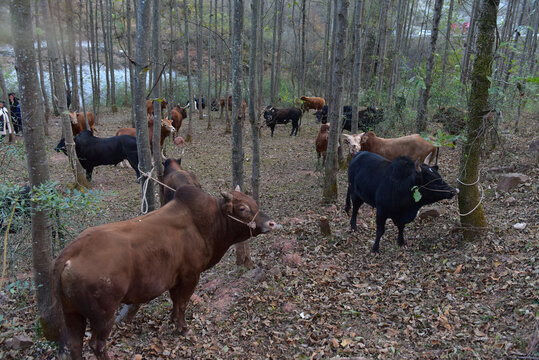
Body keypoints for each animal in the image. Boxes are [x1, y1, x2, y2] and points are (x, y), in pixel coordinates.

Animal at [52, 184, 280, 358]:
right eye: (242, 208)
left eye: (253, 202)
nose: (271, 223)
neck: (205, 225)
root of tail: (69, 253)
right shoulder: (190, 276)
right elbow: (182, 302)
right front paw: (183, 328)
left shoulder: (174, 279)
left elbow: (175, 301)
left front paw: (173, 321)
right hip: (103, 314)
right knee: (97, 345)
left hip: (72, 312)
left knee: (75, 345)